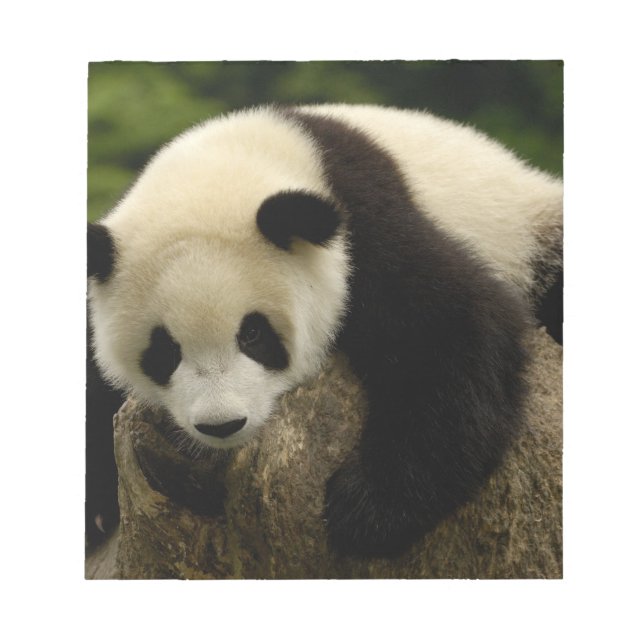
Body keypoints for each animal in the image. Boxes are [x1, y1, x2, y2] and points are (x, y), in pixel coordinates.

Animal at [87, 104, 563, 557]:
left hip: (532, 235)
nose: (222, 424)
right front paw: (96, 512)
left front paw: (365, 510)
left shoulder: (364, 224)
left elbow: (456, 323)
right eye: (165, 350)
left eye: (253, 334)